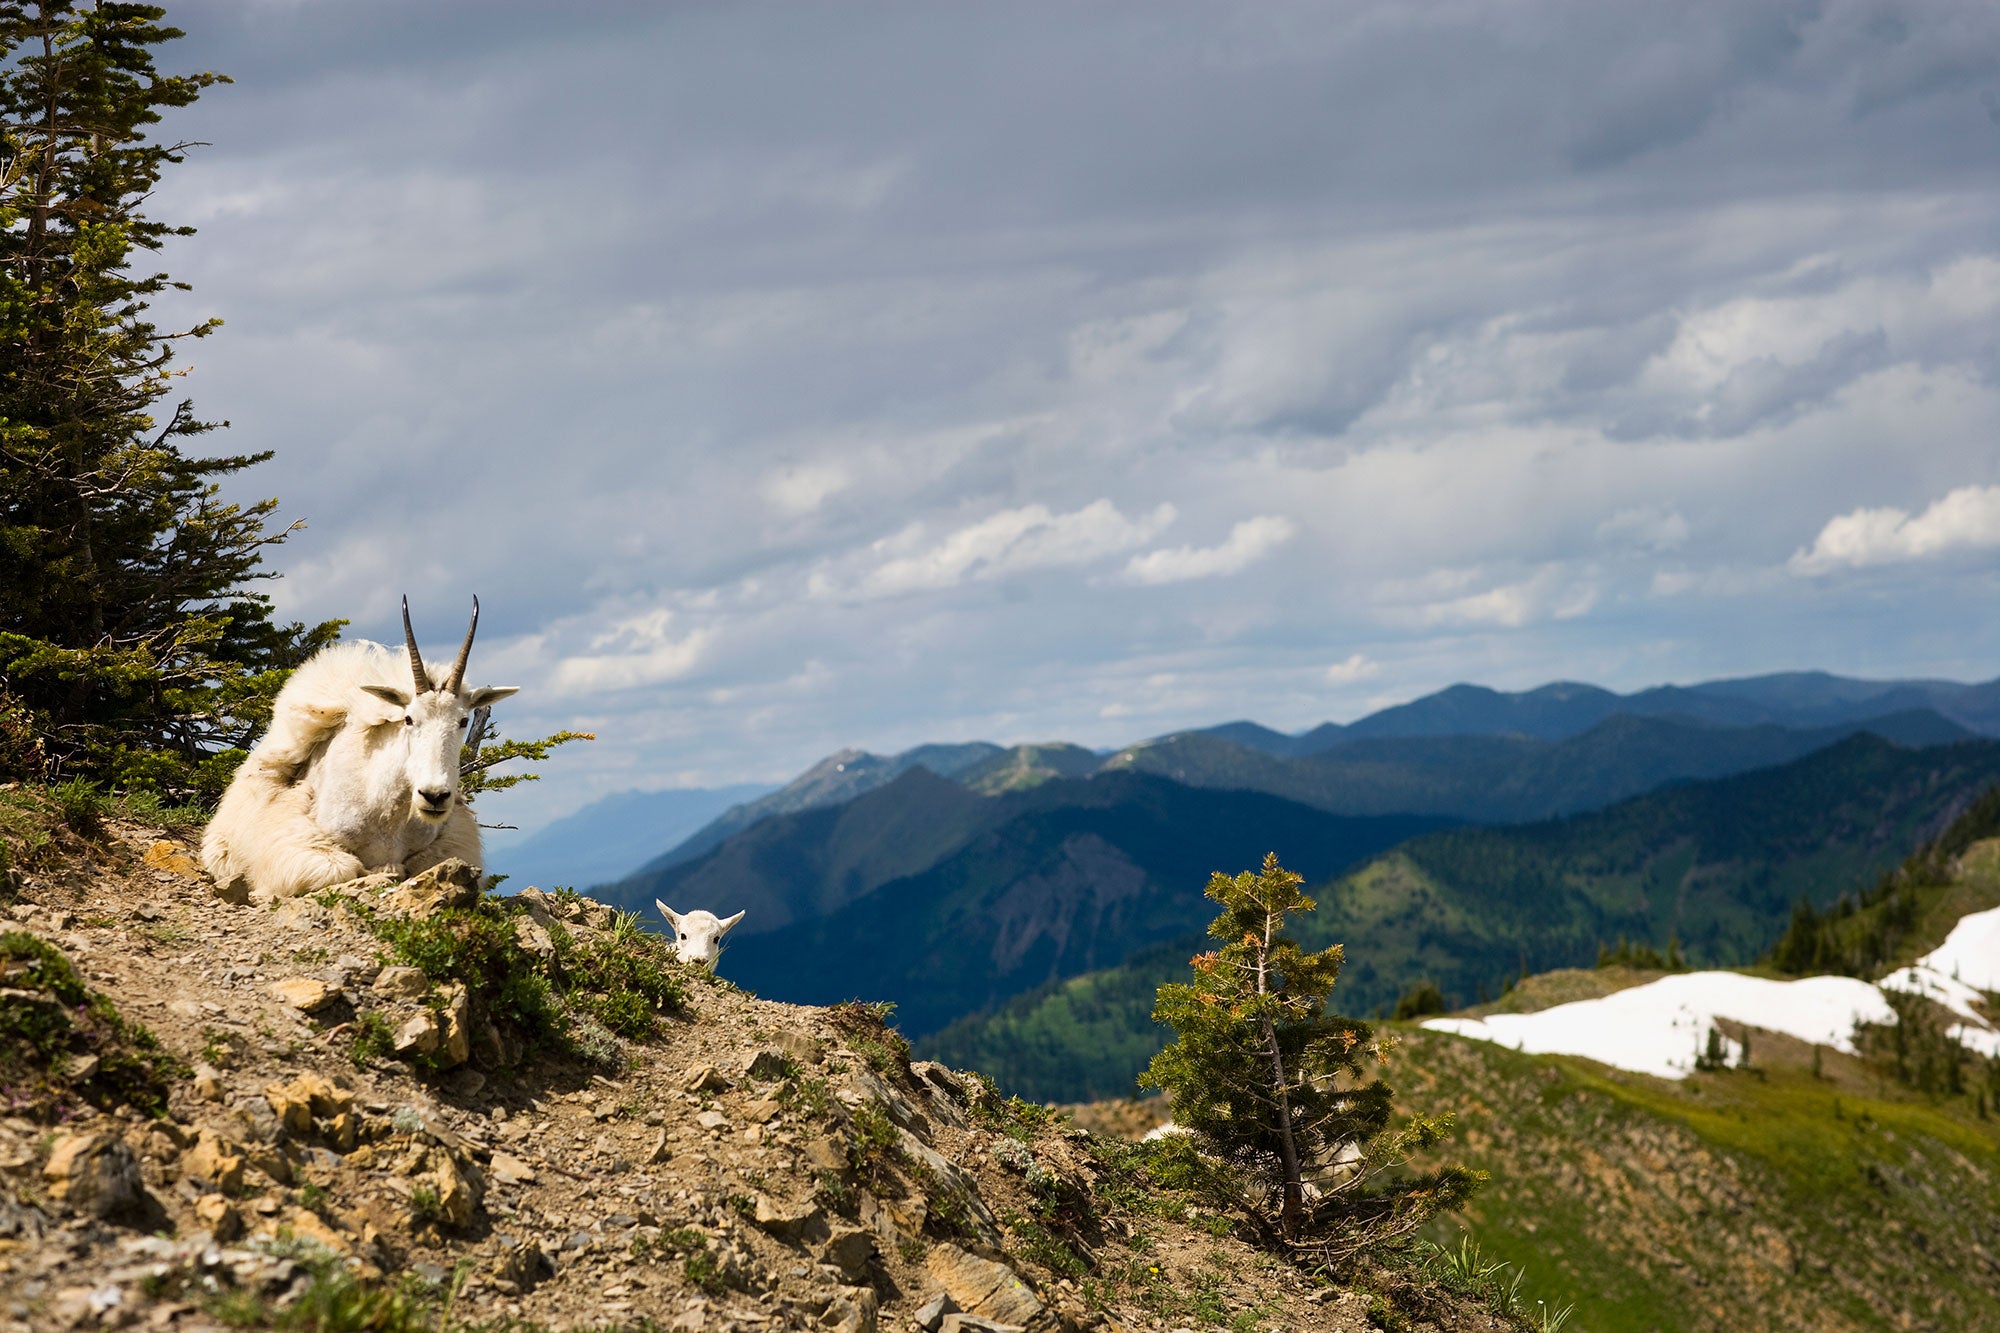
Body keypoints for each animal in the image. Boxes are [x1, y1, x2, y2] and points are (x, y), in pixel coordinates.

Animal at [201, 598, 519, 903]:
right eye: (408, 718)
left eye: (463, 720)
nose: (434, 796)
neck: (386, 812)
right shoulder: (295, 841)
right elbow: (343, 868)